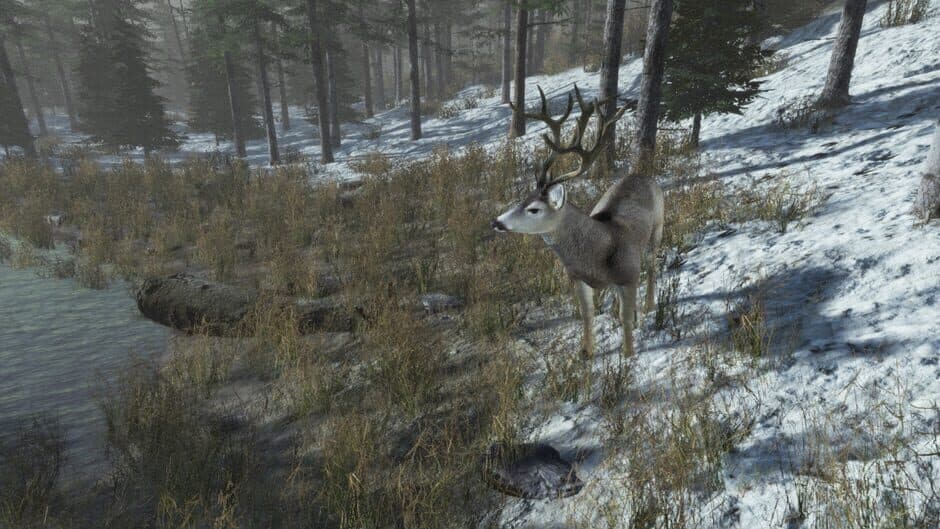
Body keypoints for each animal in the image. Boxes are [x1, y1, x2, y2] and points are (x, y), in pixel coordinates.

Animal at [491, 85, 664, 358]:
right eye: (521, 199)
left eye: (533, 209)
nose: (497, 222)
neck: (597, 252)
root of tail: (641, 175)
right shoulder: (578, 279)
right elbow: (587, 314)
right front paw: (586, 353)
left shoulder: (628, 274)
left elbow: (625, 316)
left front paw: (628, 354)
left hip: (658, 226)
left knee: (654, 265)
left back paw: (648, 306)